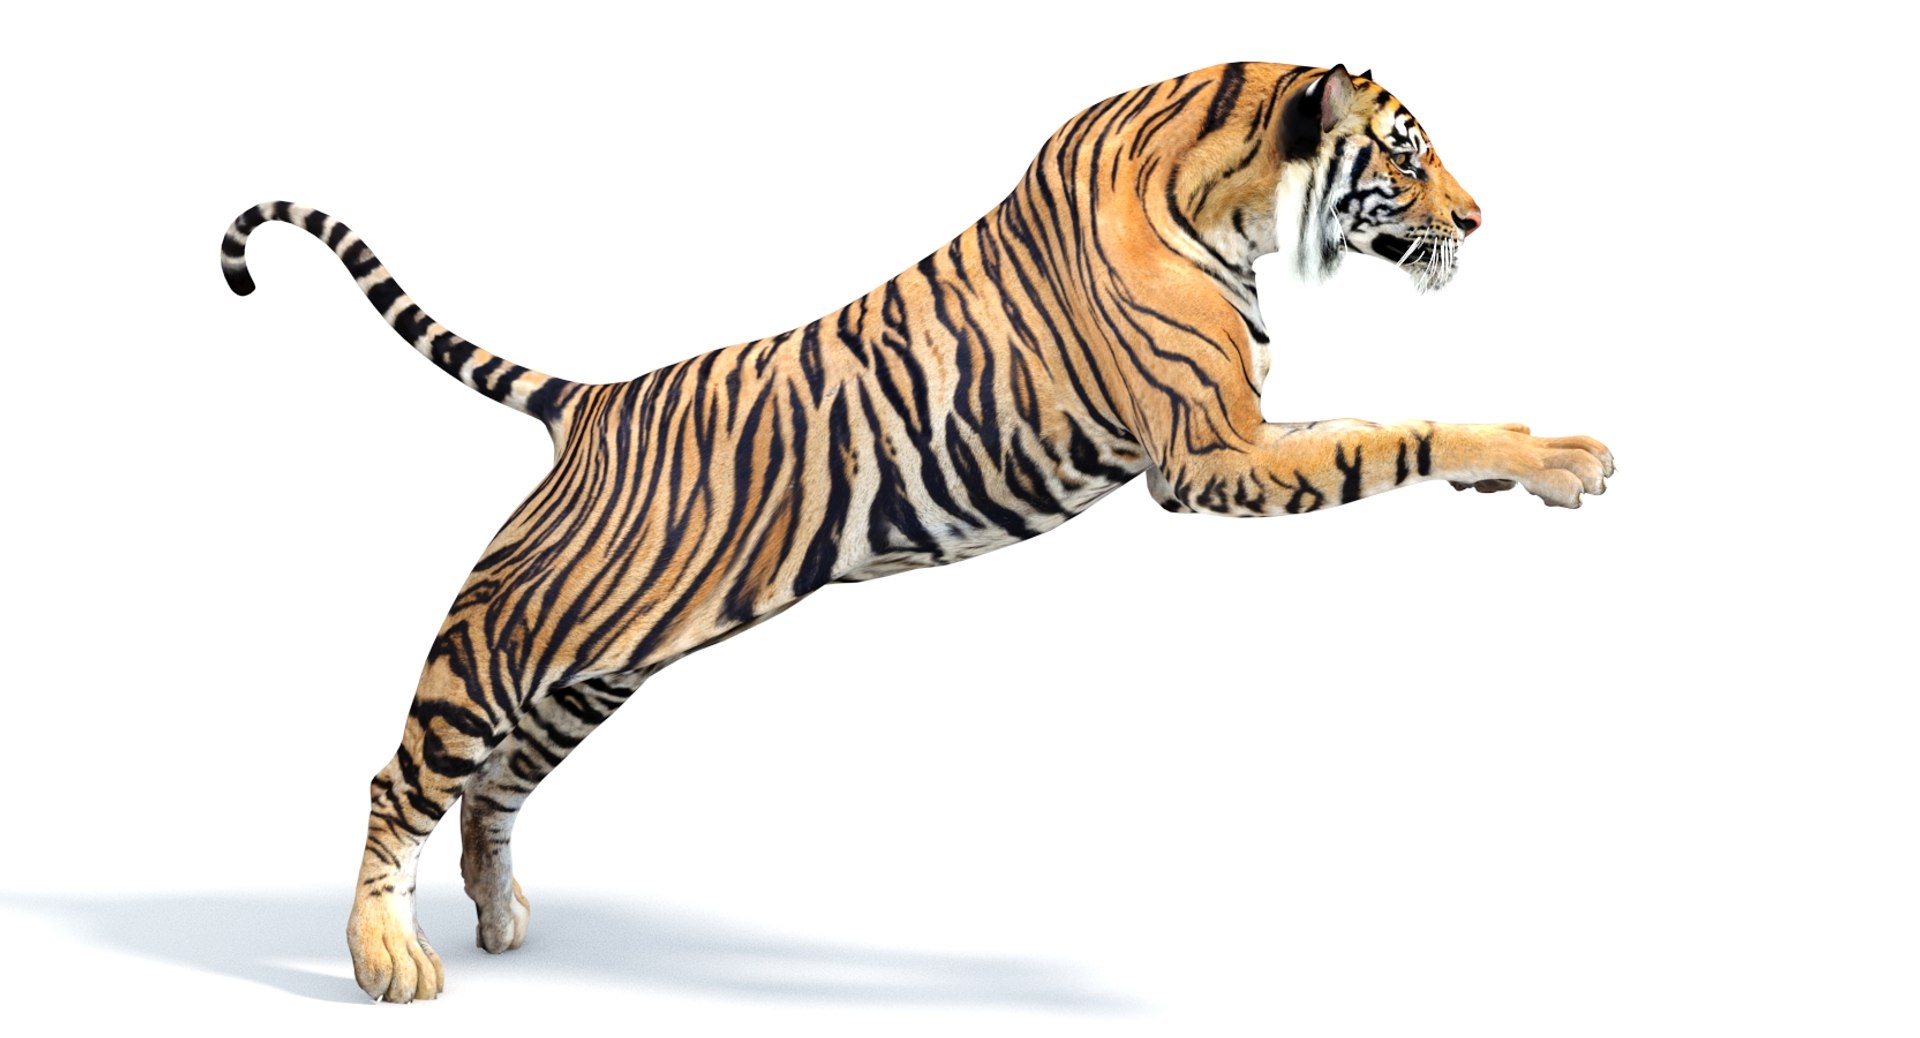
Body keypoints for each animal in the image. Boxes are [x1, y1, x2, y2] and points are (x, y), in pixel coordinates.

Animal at [221, 61, 1613, 1003]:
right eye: (1409, 157)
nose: (1478, 220)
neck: (1233, 196)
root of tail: (596, 398)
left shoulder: (1240, 434)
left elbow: (1386, 421)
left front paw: (1535, 466)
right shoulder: (1209, 457)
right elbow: (1400, 434)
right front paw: (1562, 461)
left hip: (602, 664)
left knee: (494, 786)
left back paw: (500, 915)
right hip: (520, 629)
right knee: (405, 776)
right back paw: (385, 957)